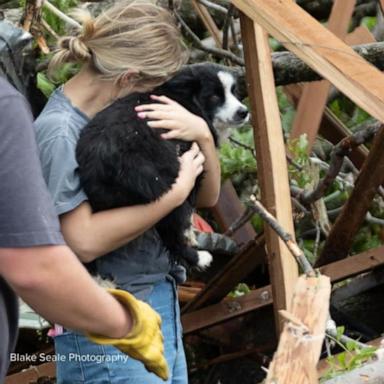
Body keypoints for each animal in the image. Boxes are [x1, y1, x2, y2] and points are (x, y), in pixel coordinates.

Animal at [76, 61, 249, 268]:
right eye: (215, 96)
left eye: (233, 91)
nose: (244, 112)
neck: (187, 102)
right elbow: (186, 219)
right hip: (170, 188)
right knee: (172, 235)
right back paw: (198, 258)